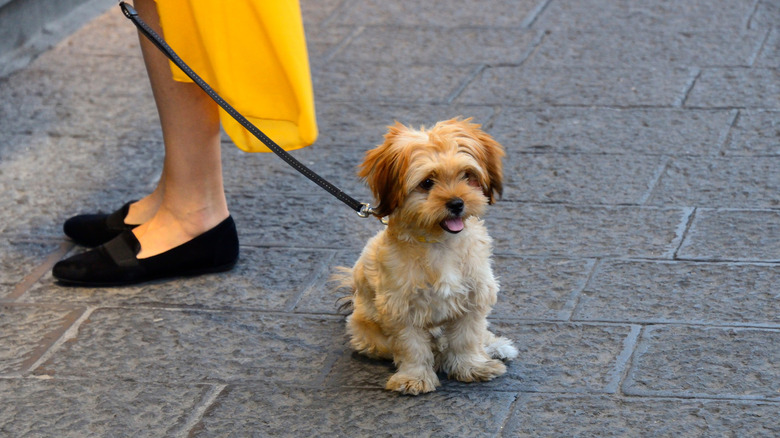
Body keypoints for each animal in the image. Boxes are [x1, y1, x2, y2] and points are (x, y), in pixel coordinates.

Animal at [336, 118, 516, 396]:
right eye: (427, 183)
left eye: (467, 175)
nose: (457, 203)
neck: (439, 243)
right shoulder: (400, 309)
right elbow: (411, 347)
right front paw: (414, 378)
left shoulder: (475, 296)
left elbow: (468, 338)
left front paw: (472, 366)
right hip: (368, 334)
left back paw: (494, 346)